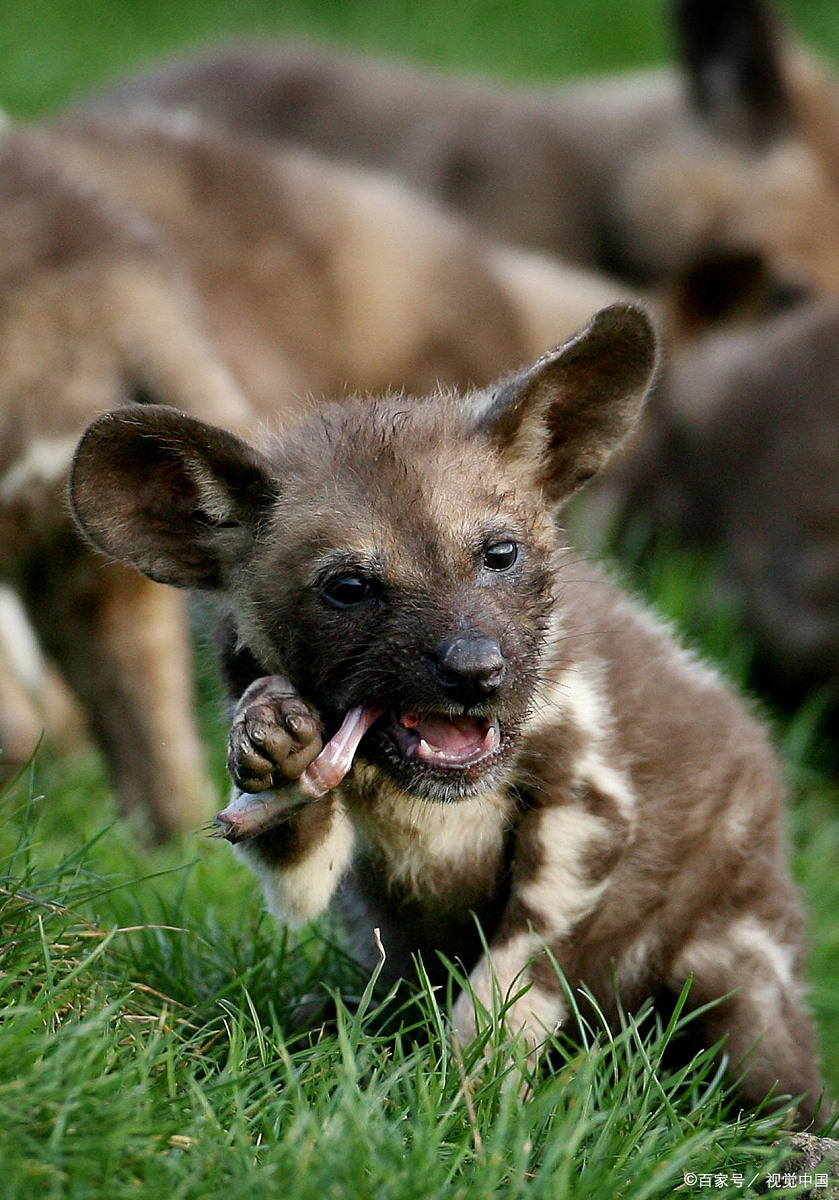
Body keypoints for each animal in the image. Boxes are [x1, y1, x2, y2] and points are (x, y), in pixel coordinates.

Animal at [69, 307, 825, 1123]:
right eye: (347, 586)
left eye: (500, 553)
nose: (474, 669)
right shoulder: (321, 868)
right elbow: (295, 834)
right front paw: (274, 734)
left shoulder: (588, 805)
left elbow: (509, 987)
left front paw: (473, 1104)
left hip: (738, 982)